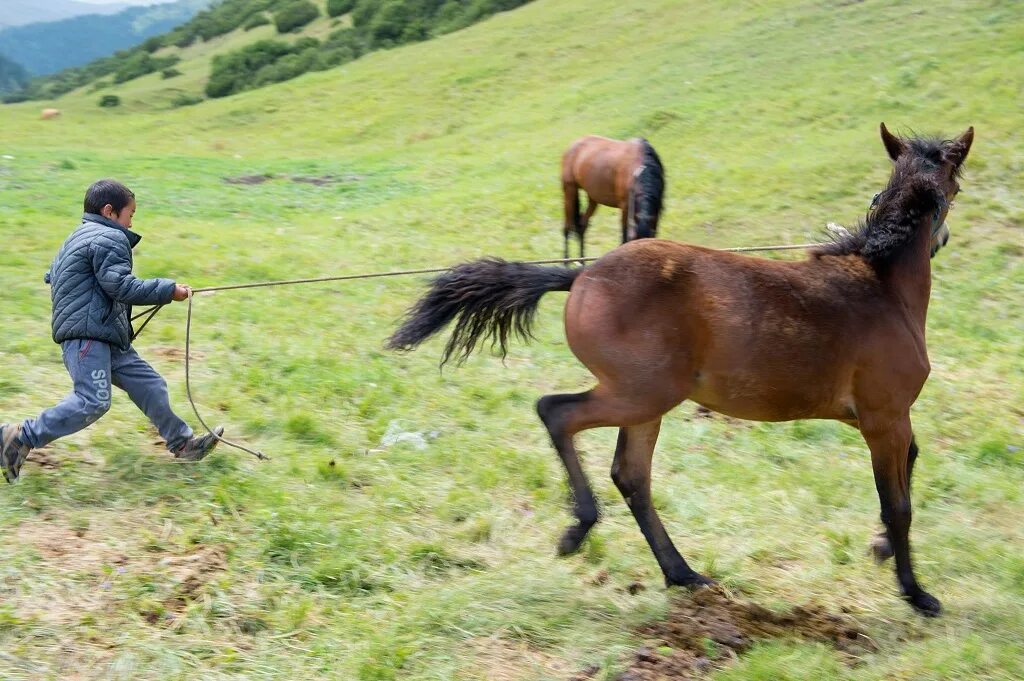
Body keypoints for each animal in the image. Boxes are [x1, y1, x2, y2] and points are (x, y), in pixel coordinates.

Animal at [391, 123, 974, 614]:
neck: (882, 286)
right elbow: (899, 504)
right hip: (641, 393)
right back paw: (580, 528)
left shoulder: (880, 419)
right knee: (556, 413)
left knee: (631, 474)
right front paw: (915, 592)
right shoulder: (884, 416)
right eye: (957, 191)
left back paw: (682, 573)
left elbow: (909, 468)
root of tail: (580, 277)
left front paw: (880, 548)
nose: (942, 240)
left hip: (643, 403)